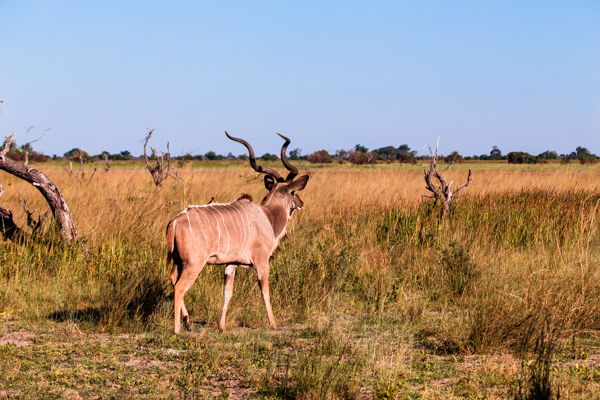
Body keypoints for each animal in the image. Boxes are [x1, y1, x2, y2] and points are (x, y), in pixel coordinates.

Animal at [168, 132, 310, 334]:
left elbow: (227, 293)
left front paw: (222, 326)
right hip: (193, 264)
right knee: (179, 287)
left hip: (178, 263)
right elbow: (265, 292)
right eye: (293, 192)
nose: (301, 203)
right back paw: (177, 329)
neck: (266, 216)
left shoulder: (231, 264)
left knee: (173, 280)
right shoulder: (261, 262)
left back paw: (187, 321)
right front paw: (273, 323)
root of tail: (175, 221)